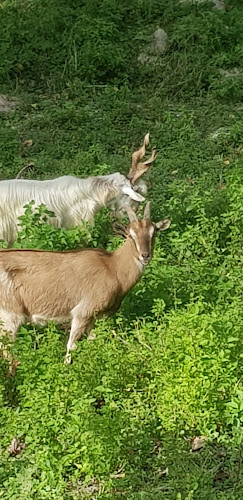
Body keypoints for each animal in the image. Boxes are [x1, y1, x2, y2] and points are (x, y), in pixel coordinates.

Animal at [0, 202, 170, 364]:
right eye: (130, 235)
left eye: (154, 232)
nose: (145, 256)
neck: (113, 268)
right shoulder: (83, 312)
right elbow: (71, 346)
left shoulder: (94, 318)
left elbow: (93, 340)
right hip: (10, 316)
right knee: (7, 351)